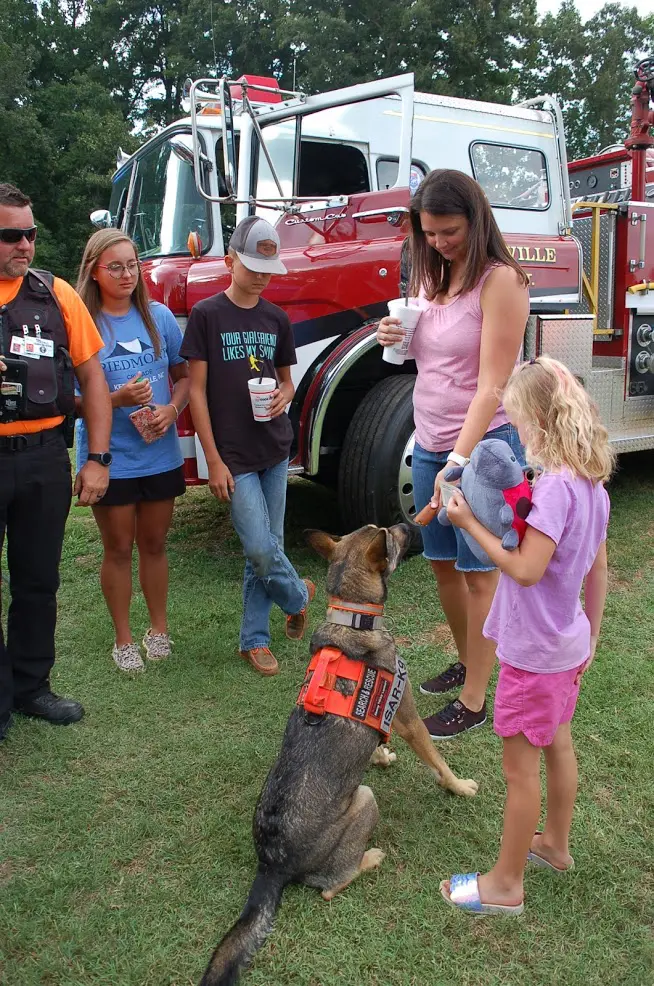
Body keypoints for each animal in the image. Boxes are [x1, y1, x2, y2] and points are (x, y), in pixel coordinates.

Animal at [197, 524, 480, 984]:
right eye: (391, 536)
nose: (412, 524)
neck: (354, 617)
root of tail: (270, 865)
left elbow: (379, 742)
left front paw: (381, 757)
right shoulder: (407, 716)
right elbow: (437, 762)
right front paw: (458, 786)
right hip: (365, 799)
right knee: (332, 885)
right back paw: (370, 858)